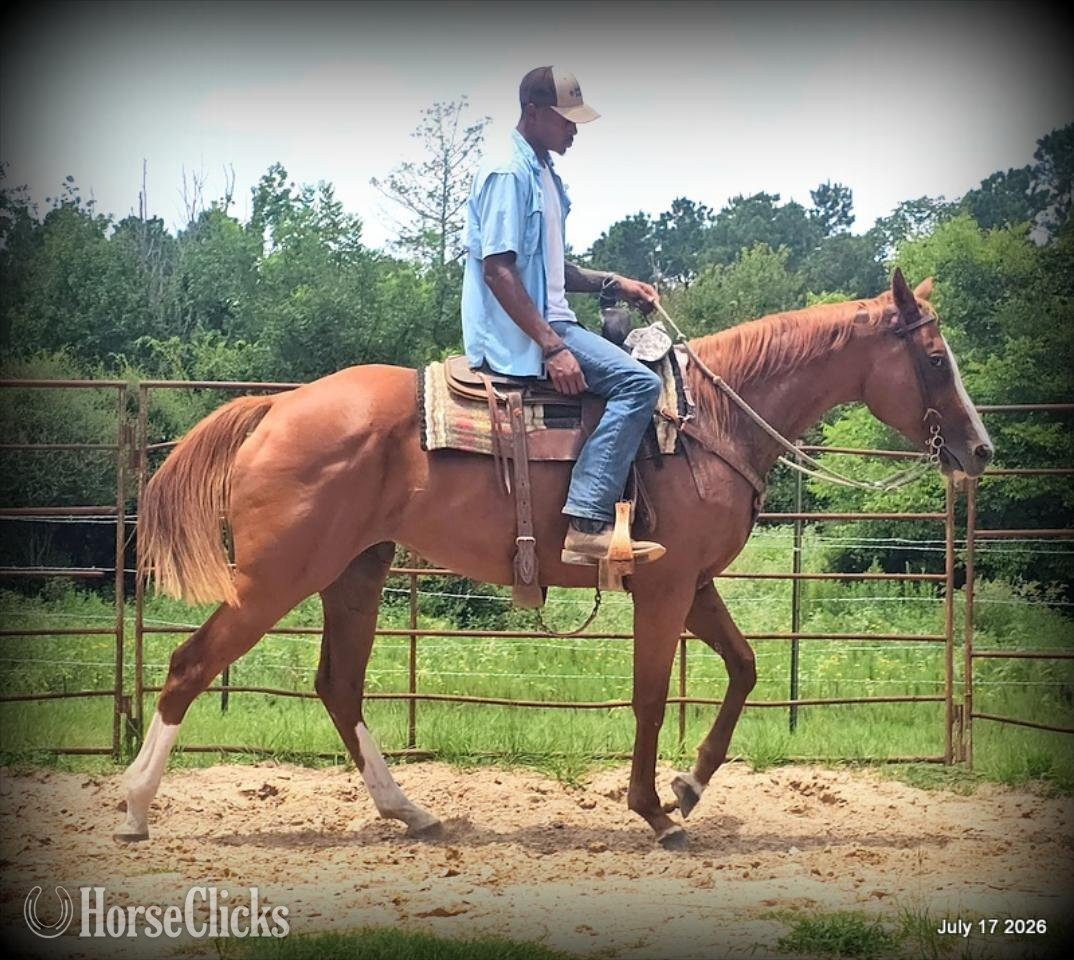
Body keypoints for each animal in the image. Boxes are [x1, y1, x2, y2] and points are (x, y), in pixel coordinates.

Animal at [118, 269, 993, 849]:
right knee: (190, 666)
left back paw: (411, 811)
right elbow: (650, 696)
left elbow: (745, 669)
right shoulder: (665, 587)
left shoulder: (692, 582)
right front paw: (653, 809)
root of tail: (278, 406)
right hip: (275, 578)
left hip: (354, 573)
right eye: (936, 360)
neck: (707, 419)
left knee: (338, 686)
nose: (980, 450)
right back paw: (133, 807)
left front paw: (689, 786)